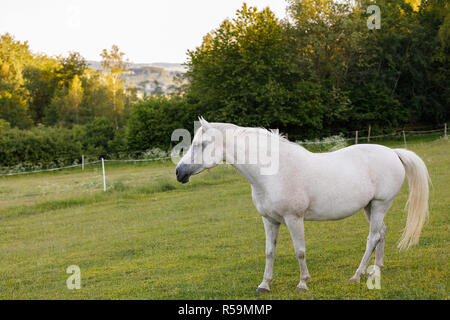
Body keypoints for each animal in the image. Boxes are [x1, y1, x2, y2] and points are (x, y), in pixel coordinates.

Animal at [175, 118, 428, 292]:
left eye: (202, 144)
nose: (179, 172)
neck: (274, 173)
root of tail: (393, 153)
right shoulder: (269, 220)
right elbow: (269, 251)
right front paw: (264, 285)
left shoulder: (294, 219)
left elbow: (300, 251)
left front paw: (302, 283)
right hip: (370, 207)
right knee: (381, 233)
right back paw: (376, 269)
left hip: (380, 205)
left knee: (372, 237)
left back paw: (357, 275)